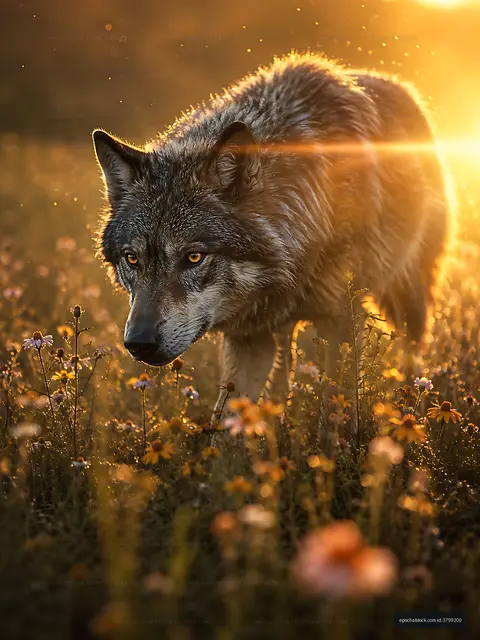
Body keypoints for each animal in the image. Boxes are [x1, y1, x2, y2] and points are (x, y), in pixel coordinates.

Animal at [92, 52, 451, 424]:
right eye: (132, 258)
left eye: (194, 257)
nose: (139, 342)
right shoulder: (249, 337)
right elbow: (227, 426)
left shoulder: (342, 323)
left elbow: (334, 415)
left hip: (408, 297)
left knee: (412, 354)